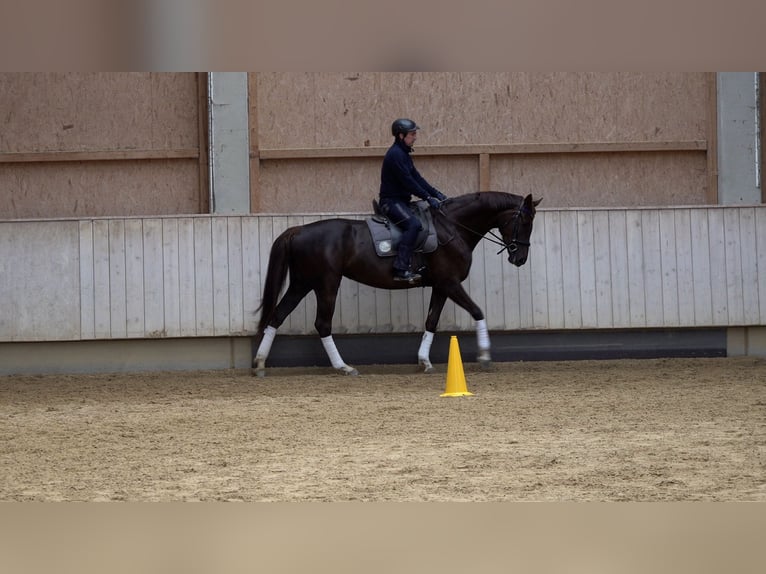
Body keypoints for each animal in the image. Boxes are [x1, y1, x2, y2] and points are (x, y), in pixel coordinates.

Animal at [255, 191, 544, 378]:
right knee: (322, 324)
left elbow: (431, 321)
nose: (520, 258)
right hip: (326, 283)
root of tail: (298, 230)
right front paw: (484, 356)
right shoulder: (450, 283)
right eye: (524, 221)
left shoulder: (441, 286)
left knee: (277, 315)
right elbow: (477, 311)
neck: (452, 227)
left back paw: (259, 364)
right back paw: (343, 367)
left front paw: (424, 361)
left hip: (302, 283)